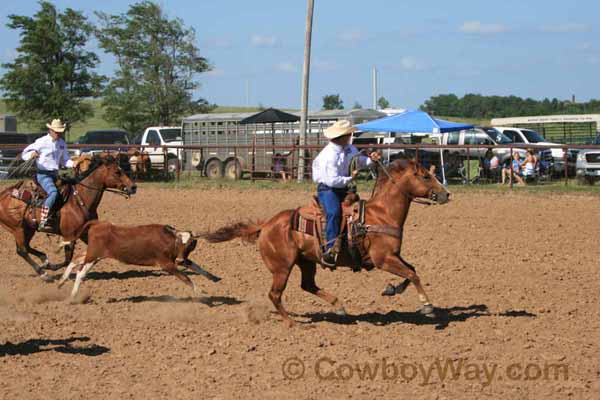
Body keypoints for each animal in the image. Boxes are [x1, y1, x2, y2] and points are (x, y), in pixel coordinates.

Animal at [0, 154, 137, 282]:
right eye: (117, 172)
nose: (133, 187)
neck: (79, 200)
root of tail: (4, 194)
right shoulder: (69, 235)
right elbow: (67, 259)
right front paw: (51, 268)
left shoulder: (84, 233)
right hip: (18, 228)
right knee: (22, 250)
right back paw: (44, 273)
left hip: (29, 228)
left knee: (25, 247)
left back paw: (44, 260)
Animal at [56, 222, 218, 300]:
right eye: (179, 242)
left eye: (190, 244)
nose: (179, 258)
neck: (167, 240)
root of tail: (97, 225)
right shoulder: (166, 264)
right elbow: (185, 277)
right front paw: (200, 291)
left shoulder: (179, 259)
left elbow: (195, 266)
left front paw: (214, 277)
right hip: (93, 256)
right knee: (81, 273)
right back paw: (73, 296)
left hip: (93, 255)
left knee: (76, 259)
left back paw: (62, 281)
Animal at [203, 160, 450, 328]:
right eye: (425, 176)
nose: (446, 194)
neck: (382, 215)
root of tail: (266, 225)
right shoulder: (383, 259)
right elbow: (412, 275)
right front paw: (427, 306)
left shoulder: (393, 256)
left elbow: (412, 271)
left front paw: (391, 289)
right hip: (282, 267)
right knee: (275, 294)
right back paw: (292, 323)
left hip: (306, 261)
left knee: (308, 285)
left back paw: (338, 306)